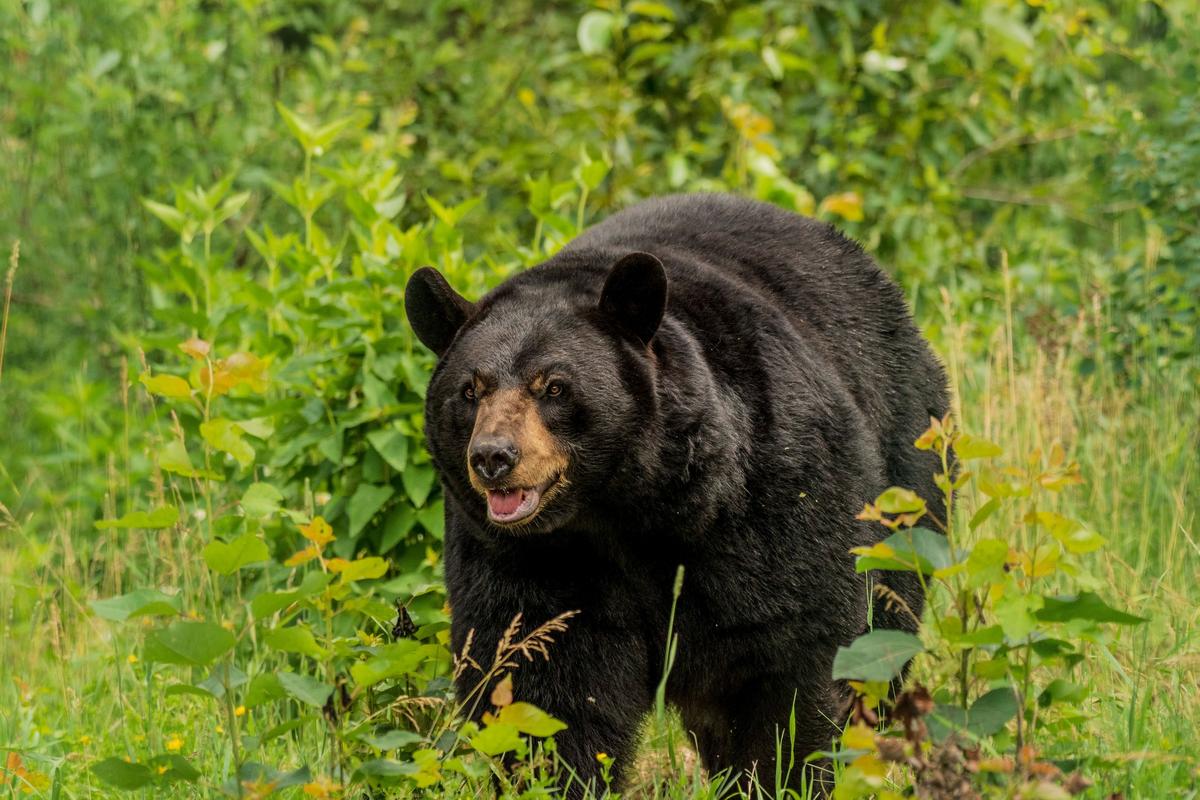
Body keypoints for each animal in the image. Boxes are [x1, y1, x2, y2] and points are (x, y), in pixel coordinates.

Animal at [408, 195, 950, 796]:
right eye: (470, 390)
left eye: (553, 386)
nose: (493, 457)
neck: (624, 511)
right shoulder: (523, 556)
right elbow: (540, 678)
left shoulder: (771, 498)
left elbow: (792, 651)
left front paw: (779, 775)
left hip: (906, 465)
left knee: (889, 621)